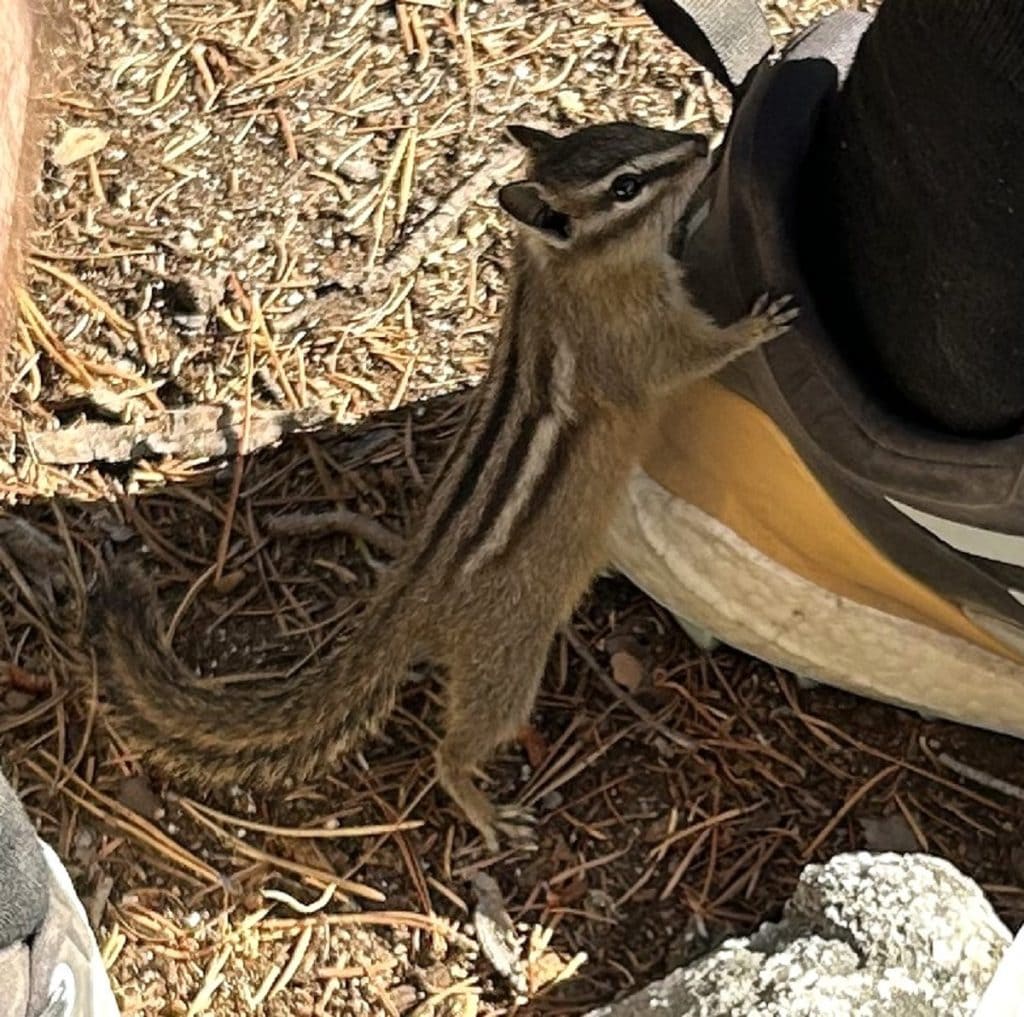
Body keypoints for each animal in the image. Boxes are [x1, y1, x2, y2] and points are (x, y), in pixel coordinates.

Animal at [93, 121, 797, 852]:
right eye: (626, 185)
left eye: (636, 127)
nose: (700, 145)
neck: (564, 269)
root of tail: (410, 592)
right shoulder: (640, 338)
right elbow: (690, 358)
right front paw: (758, 323)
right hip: (507, 665)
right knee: (454, 749)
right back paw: (484, 806)